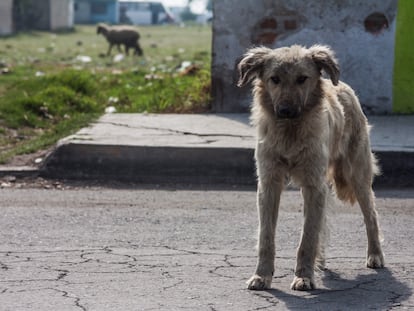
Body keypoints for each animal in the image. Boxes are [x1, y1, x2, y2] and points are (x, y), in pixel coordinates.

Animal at [238, 45, 386, 292]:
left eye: (302, 79)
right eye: (274, 79)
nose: (285, 110)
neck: (290, 132)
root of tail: (344, 86)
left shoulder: (313, 185)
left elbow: (307, 237)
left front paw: (304, 277)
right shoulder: (269, 183)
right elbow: (266, 236)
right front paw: (261, 276)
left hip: (356, 175)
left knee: (371, 216)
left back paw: (375, 255)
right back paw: (321, 259)